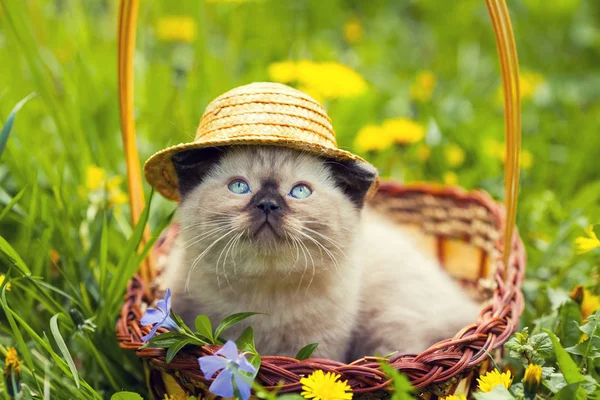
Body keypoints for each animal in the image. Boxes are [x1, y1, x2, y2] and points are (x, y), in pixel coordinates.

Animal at [162, 145, 480, 360]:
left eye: (300, 192)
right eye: (239, 187)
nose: (267, 205)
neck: (265, 296)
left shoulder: (318, 350)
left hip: (389, 328)